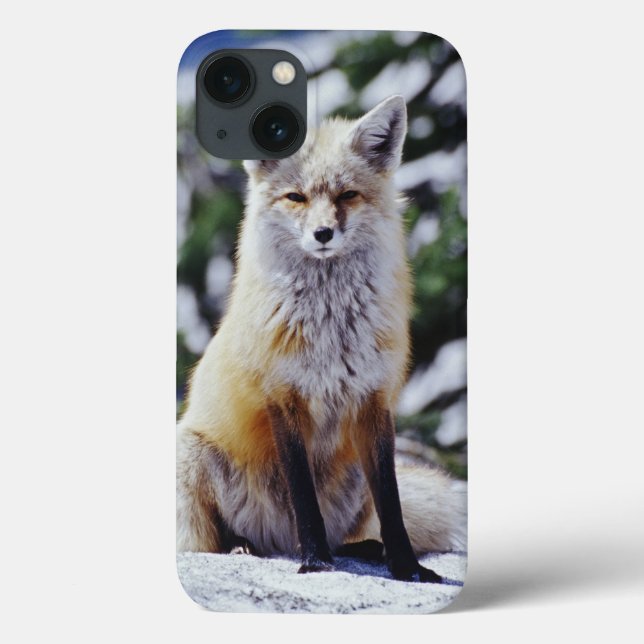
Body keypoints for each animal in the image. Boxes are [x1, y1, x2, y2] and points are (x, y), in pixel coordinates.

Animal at [176, 95, 466, 583]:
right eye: (296, 197)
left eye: (347, 195)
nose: (323, 234)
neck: (332, 328)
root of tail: (277, 541)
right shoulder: (283, 397)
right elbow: (303, 497)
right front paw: (315, 563)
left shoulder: (374, 399)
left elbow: (392, 503)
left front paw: (407, 566)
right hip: (192, 454)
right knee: (212, 540)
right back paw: (243, 546)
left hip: (352, 482)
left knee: (352, 529)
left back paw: (365, 548)